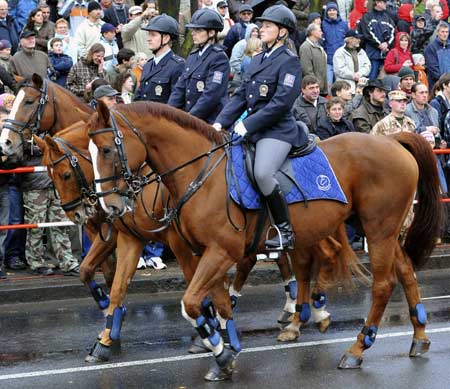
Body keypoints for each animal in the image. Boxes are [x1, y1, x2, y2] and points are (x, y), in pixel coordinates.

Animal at [87, 101, 440, 380]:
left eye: (105, 149)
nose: (110, 206)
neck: (201, 175)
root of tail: (392, 140)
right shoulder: (208, 253)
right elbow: (218, 305)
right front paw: (226, 353)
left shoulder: (220, 252)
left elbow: (191, 303)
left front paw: (221, 352)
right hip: (383, 231)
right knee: (404, 271)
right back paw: (418, 336)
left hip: (378, 229)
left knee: (382, 284)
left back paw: (356, 348)